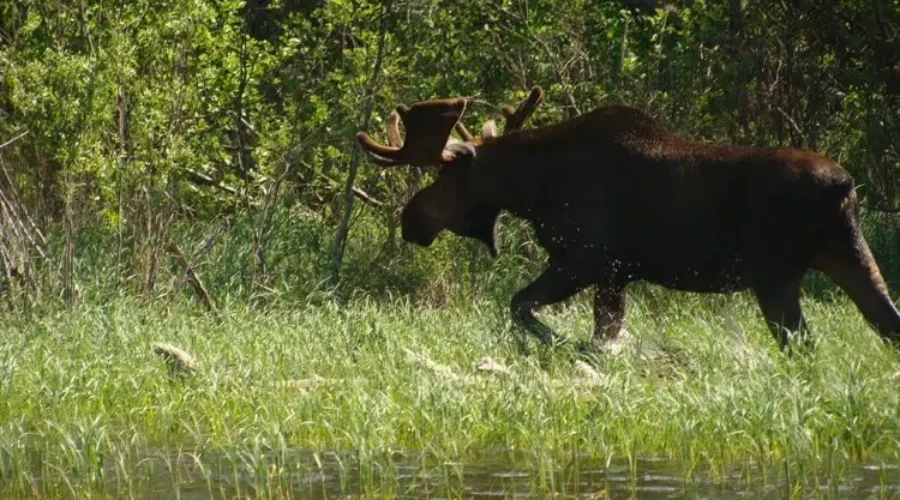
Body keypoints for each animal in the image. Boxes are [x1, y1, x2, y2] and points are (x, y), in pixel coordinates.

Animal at [355, 86, 900, 353]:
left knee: (804, 345)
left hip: (775, 275)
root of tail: (845, 188)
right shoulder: (615, 274)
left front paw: (570, 345)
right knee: (882, 325)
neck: (532, 189)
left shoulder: (586, 260)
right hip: (847, 255)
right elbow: (601, 326)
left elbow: (522, 306)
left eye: (446, 176)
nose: (410, 218)